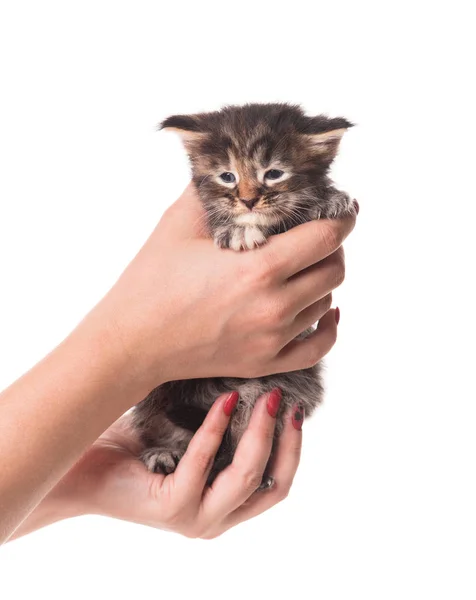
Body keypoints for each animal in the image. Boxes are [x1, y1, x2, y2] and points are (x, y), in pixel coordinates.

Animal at [132, 103, 356, 488]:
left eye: (274, 173)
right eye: (227, 177)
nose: (249, 201)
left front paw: (328, 200)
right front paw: (237, 230)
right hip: (158, 386)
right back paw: (163, 452)